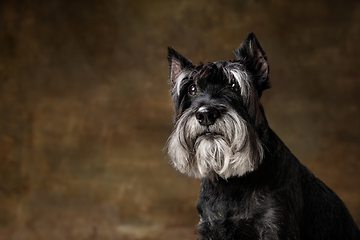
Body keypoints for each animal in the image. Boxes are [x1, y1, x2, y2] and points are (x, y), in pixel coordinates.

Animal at [166, 32, 360, 240]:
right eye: (192, 89)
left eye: (234, 85)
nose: (205, 114)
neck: (232, 182)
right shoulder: (211, 227)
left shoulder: (273, 227)